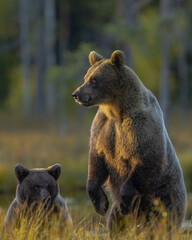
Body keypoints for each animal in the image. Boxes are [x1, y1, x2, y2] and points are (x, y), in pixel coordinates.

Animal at [72, 50, 188, 232]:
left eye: (94, 79)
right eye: (86, 77)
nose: (76, 94)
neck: (116, 109)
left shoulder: (140, 126)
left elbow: (147, 158)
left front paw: (125, 201)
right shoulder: (103, 128)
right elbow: (96, 159)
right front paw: (101, 204)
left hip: (165, 198)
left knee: (163, 222)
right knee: (115, 221)